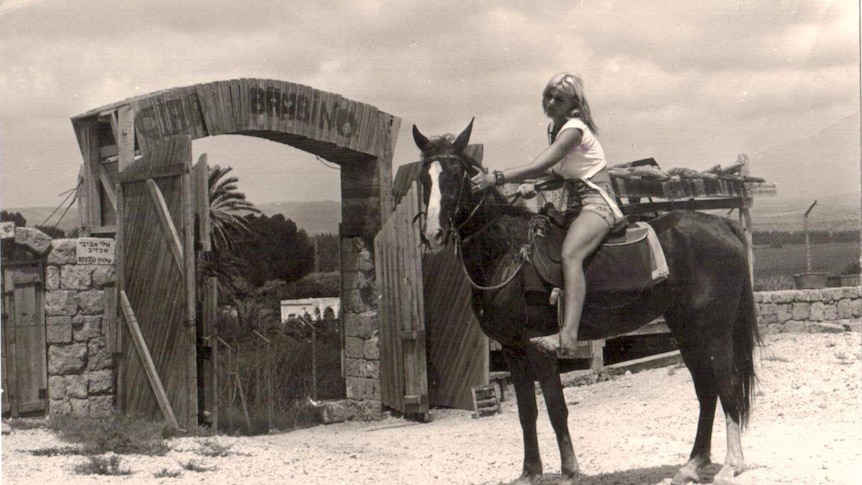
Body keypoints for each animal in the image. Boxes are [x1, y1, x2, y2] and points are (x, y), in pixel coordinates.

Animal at [416, 118, 760, 484]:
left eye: (455, 174)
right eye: (424, 177)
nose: (433, 234)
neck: (508, 252)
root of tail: (723, 224)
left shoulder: (537, 348)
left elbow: (555, 408)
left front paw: (570, 470)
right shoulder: (512, 349)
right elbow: (527, 411)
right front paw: (530, 472)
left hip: (714, 332)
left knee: (727, 386)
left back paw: (731, 464)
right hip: (686, 332)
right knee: (706, 391)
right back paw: (693, 464)